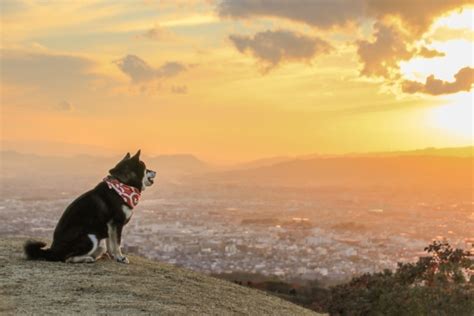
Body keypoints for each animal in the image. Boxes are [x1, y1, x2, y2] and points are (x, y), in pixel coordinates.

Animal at [23, 151, 156, 264]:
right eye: (146, 168)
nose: (155, 171)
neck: (123, 185)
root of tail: (52, 251)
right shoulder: (117, 223)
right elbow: (117, 243)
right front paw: (120, 257)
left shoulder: (110, 226)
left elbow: (111, 243)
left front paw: (113, 256)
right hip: (91, 237)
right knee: (67, 258)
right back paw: (87, 258)